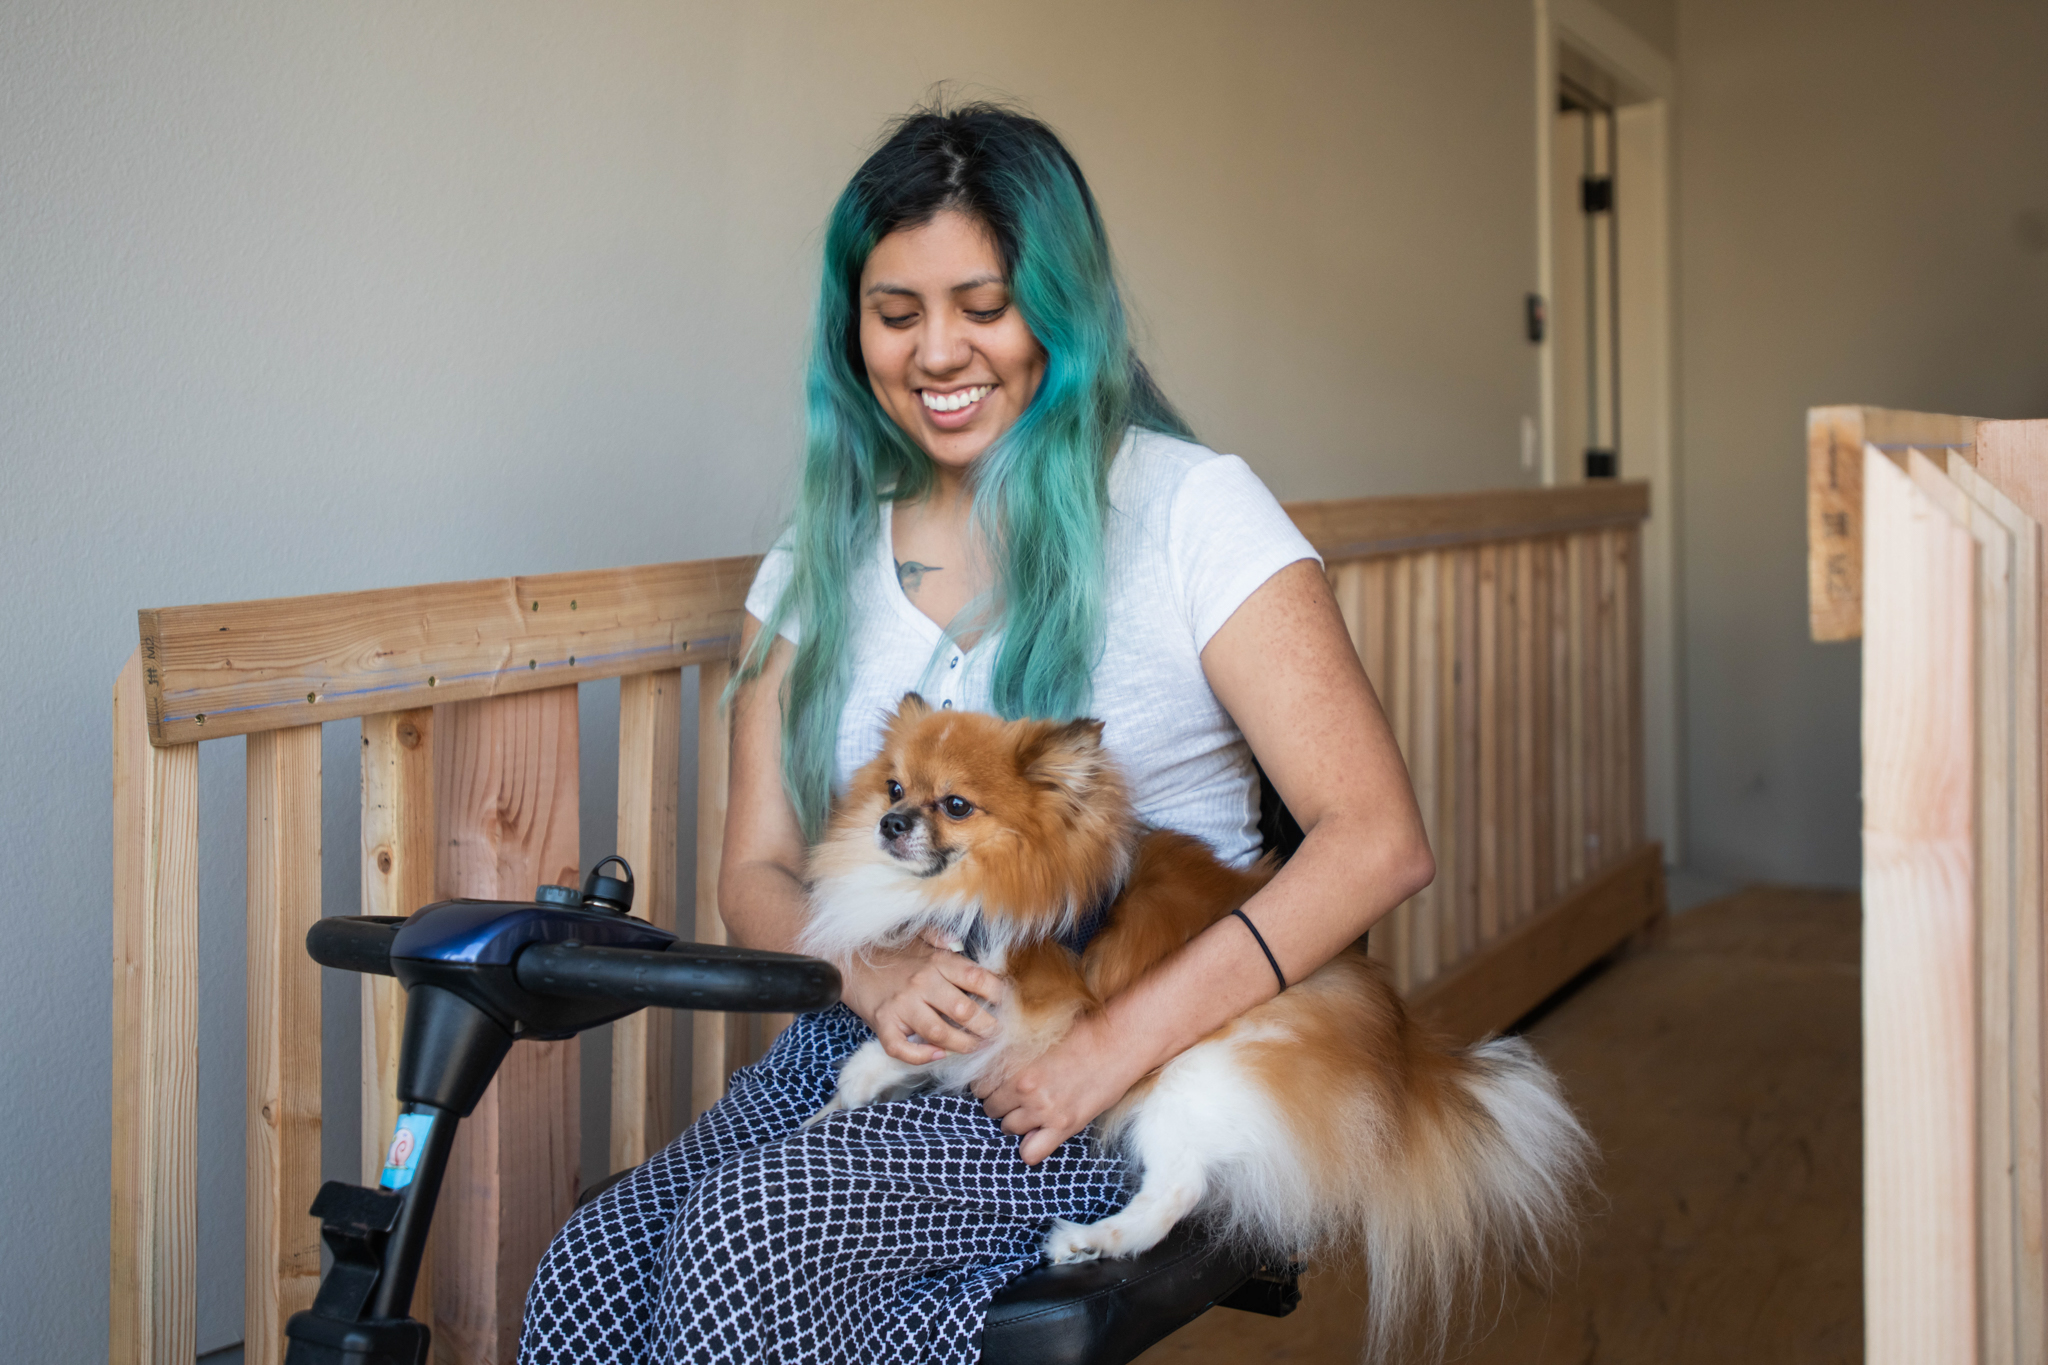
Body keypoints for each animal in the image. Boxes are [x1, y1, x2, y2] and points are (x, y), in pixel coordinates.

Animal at [806, 699, 1589, 1358]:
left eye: (957, 805)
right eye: (894, 789)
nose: (890, 823)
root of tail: (1399, 1051)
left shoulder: (1024, 1010)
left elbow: (951, 1046)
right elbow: (882, 1055)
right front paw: (832, 1103)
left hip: (1193, 1077)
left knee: (1176, 1190)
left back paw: (1092, 1240)